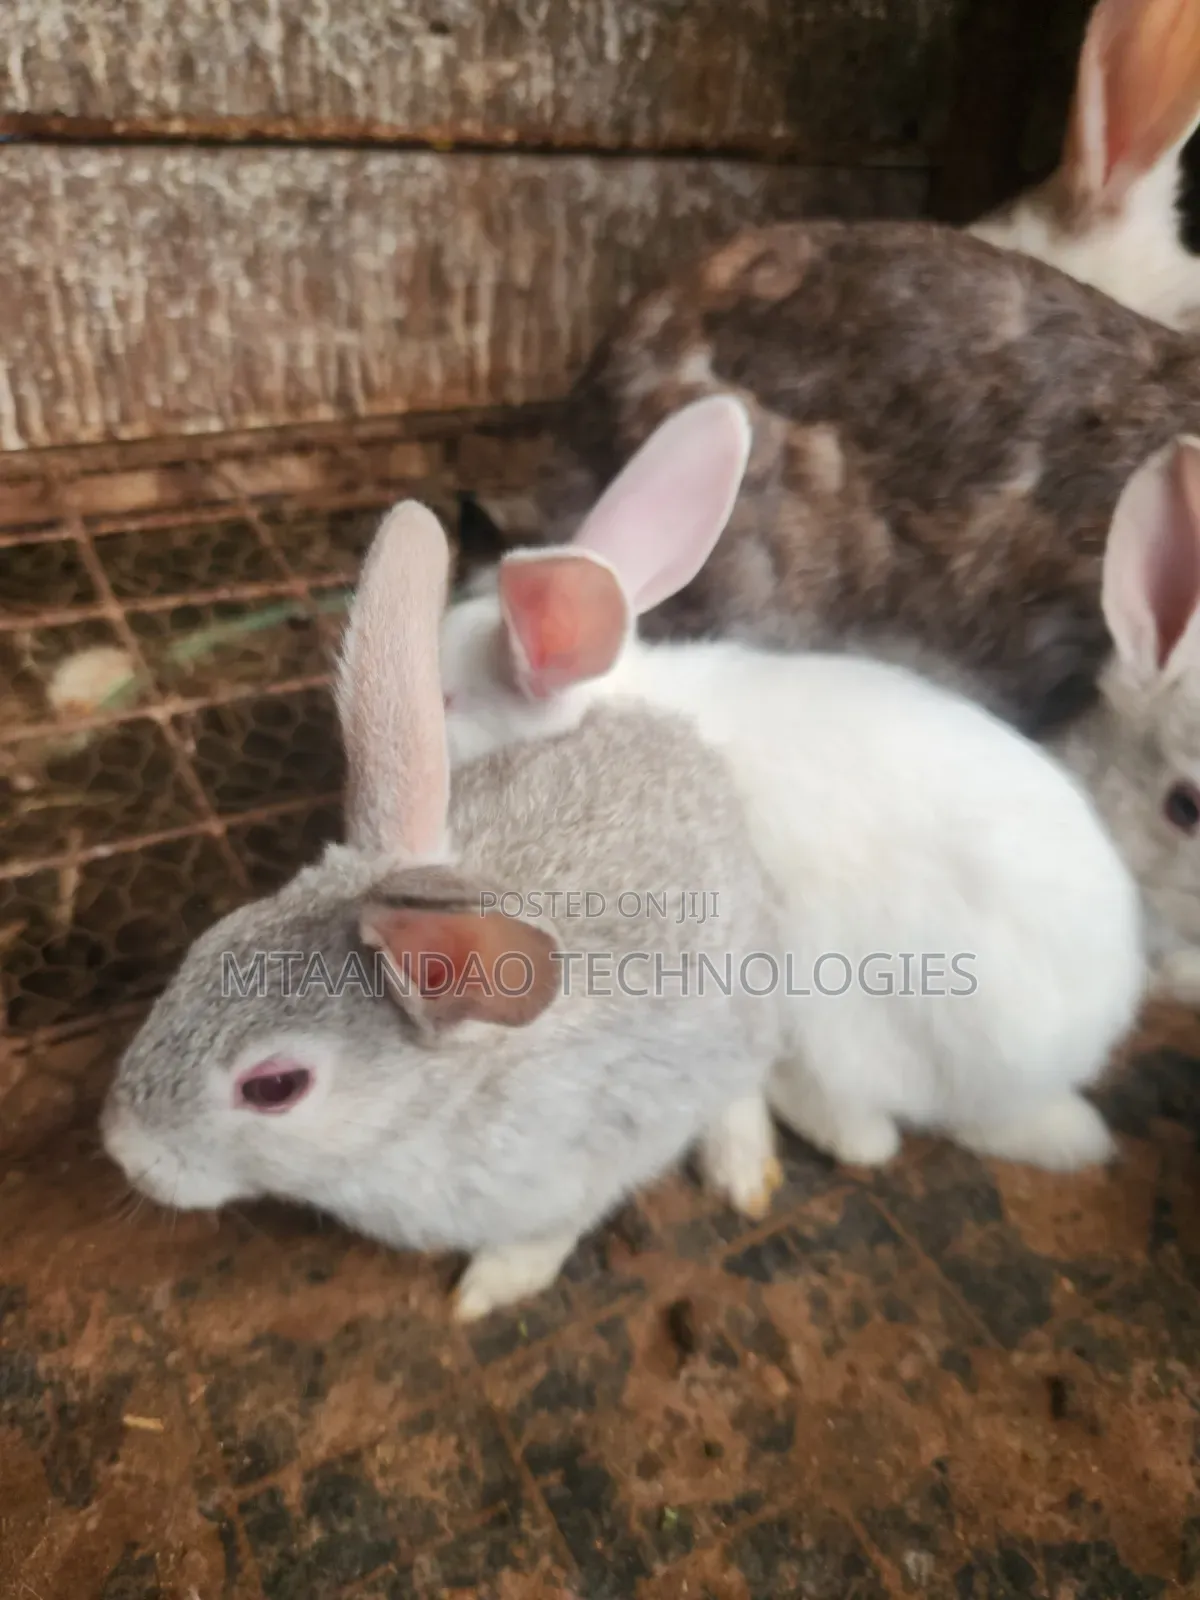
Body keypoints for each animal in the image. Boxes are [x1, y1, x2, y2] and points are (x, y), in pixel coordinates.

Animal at [100, 500, 790, 1323]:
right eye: (204, 948)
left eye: (274, 1088)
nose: (124, 1153)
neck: (436, 1103)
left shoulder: (582, 1172)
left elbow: (546, 1235)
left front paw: (484, 1294)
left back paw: (742, 1171)